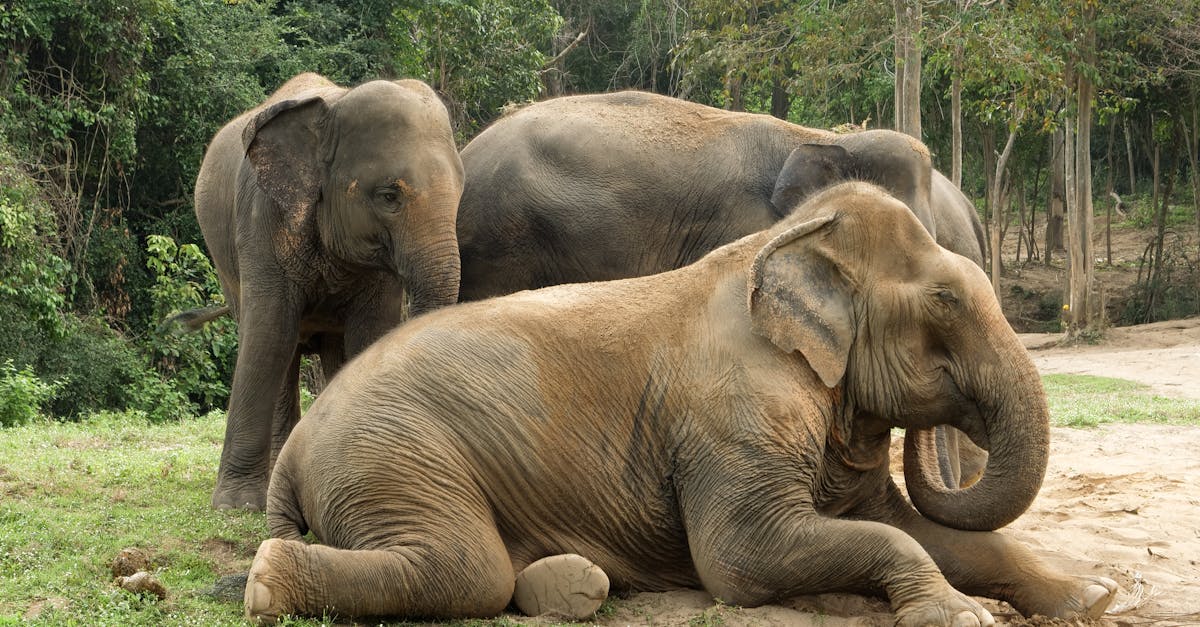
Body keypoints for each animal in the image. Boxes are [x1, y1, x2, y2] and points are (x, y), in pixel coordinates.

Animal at [193, 72, 464, 510]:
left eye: (460, 192)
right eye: (389, 196)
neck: (333, 107)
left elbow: (370, 335)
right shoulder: (262, 219)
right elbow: (268, 335)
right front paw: (236, 505)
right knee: (280, 349)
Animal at [244, 183, 1116, 625]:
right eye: (945, 300)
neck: (780, 243)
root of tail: (300, 446)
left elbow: (916, 528)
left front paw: (1090, 596)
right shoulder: (734, 414)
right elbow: (744, 556)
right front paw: (959, 616)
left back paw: (574, 587)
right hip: (392, 454)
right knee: (467, 567)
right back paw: (265, 582)